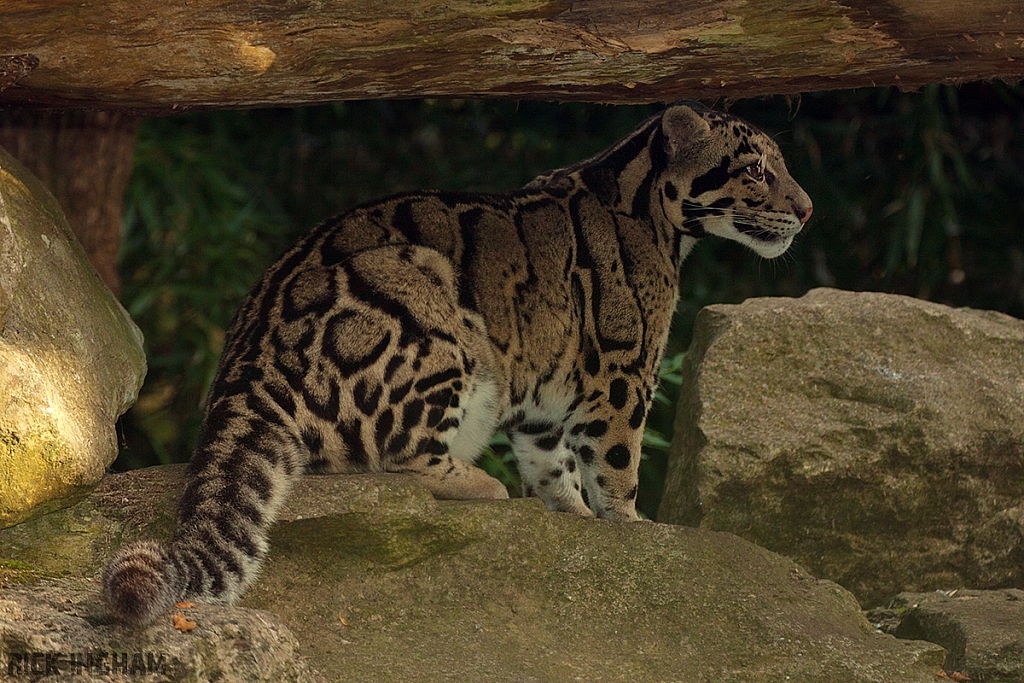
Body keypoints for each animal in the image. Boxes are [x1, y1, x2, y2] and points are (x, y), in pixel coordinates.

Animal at [101, 100, 806, 626]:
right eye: (755, 169)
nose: (807, 209)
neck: (653, 211)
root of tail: (246, 366)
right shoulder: (622, 376)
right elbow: (617, 467)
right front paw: (633, 530)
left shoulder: (546, 405)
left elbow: (554, 467)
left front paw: (574, 518)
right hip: (435, 317)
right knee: (397, 456)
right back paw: (479, 483)